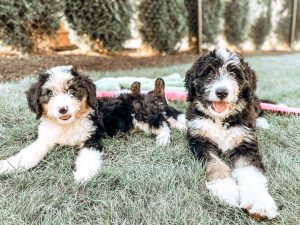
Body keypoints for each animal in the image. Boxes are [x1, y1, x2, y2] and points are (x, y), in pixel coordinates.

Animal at [185, 48, 278, 220]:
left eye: (234, 74)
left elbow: (251, 171)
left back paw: (261, 122)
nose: (222, 92)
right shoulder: (200, 139)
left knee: (259, 110)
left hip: (254, 102)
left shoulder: (245, 142)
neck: (220, 119)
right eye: (209, 72)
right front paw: (225, 189)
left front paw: (259, 202)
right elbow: (215, 163)